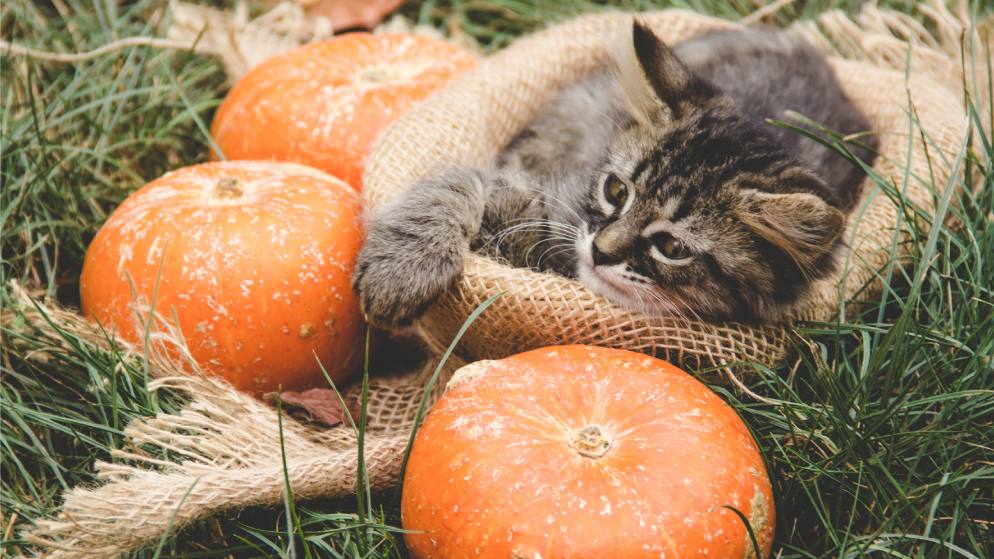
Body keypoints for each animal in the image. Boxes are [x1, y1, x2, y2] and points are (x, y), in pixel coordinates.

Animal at [354, 20, 876, 328]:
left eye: (673, 248)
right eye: (615, 190)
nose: (601, 252)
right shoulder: (536, 193)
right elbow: (452, 186)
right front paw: (402, 267)